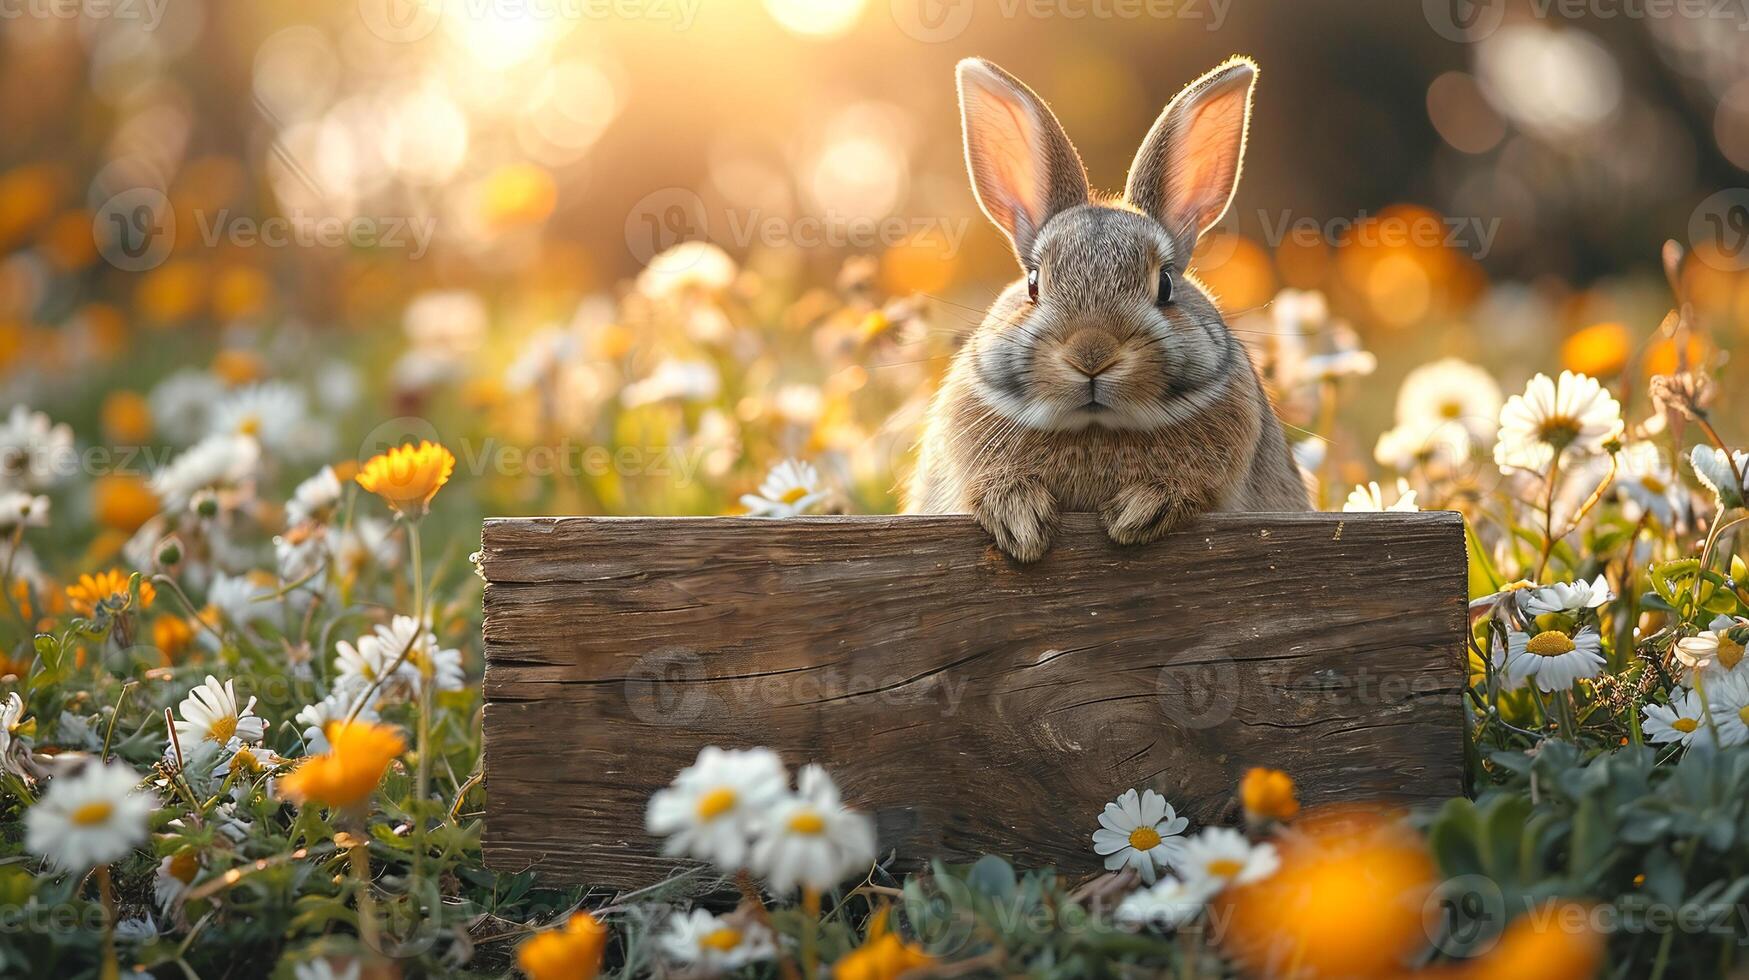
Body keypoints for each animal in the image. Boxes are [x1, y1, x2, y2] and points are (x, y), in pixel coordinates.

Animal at [909, 57, 1308, 563]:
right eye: (1033, 284)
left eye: (1165, 285)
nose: (1092, 354)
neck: (1094, 427)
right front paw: (1021, 521)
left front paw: (1137, 512)